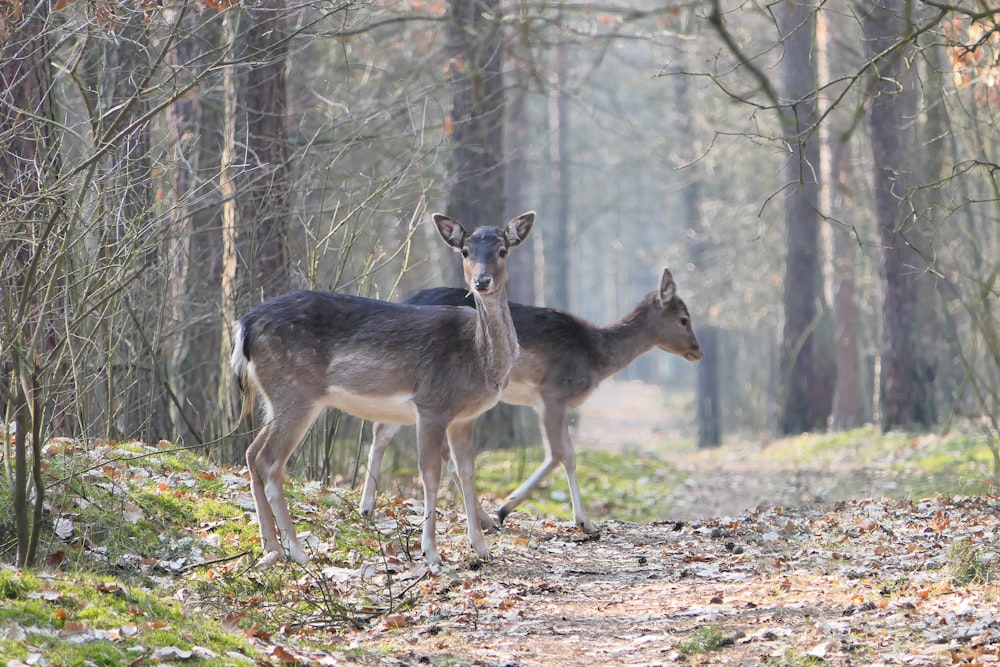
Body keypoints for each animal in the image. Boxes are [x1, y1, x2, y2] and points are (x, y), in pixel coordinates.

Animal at [230, 211, 536, 568]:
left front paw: (482, 548)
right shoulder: (432, 404)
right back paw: (297, 549)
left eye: (502, 250)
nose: (482, 281)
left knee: (252, 453)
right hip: (296, 392)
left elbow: (467, 473)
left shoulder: (465, 418)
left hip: (274, 398)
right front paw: (431, 552)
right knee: (270, 461)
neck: (478, 358)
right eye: (465, 251)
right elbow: (430, 474)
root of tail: (245, 325)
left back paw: (270, 547)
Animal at [362, 268, 704, 536]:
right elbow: (561, 454)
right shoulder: (554, 394)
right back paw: (485, 519)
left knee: (383, 430)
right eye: (683, 318)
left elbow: (567, 454)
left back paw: (367, 508)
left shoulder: (553, 402)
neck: (596, 356)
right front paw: (513, 509)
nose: (698, 350)